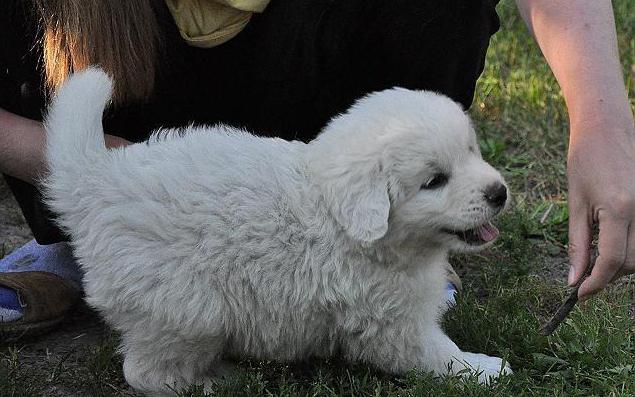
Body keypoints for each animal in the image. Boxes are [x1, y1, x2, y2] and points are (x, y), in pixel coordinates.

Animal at [43, 67, 512, 392]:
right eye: (435, 181)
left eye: (472, 151)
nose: (499, 193)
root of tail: (96, 183)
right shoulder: (390, 322)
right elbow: (437, 353)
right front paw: (487, 369)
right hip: (186, 310)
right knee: (145, 372)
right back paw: (212, 382)